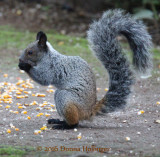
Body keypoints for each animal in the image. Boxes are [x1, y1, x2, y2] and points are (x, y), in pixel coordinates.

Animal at [18, 9, 152, 129]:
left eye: (30, 52)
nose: (20, 60)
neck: (48, 56)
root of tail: (89, 111)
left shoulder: (51, 67)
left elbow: (43, 78)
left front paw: (25, 66)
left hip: (65, 97)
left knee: (75, 122)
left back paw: (64, 125)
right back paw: (58, 120)